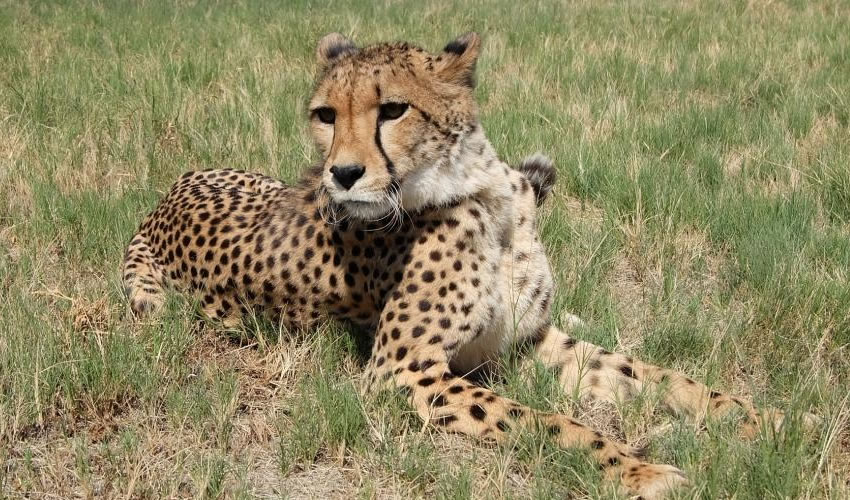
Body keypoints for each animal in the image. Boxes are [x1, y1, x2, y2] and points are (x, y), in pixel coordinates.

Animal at [121, 33, 816, 498]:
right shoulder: (403, 374)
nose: (339, 175)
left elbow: (666, 377)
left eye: (392, 109)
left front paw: (777, 421)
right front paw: (640, 468)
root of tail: (161, 203)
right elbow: (544, 421)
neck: (487, 196)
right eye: (325, 115)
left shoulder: (529, 340)